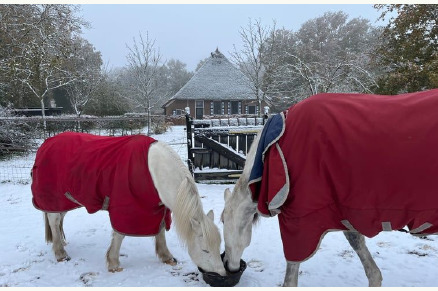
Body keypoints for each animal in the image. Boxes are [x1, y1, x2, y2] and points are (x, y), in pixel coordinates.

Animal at [32, 133, 228, 278]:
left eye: (219, 245)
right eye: (205, 249)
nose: (222, 274)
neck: (153, 169)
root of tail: (46, 144)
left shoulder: (157, 208)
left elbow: (160, 231)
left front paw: (167, 257)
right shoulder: (126, 208)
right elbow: (119, 235)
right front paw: (113, 263)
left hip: (65, 200)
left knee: (58, 220)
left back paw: (61, 243)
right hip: (55, 198)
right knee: (54, 220)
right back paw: (60, 253)